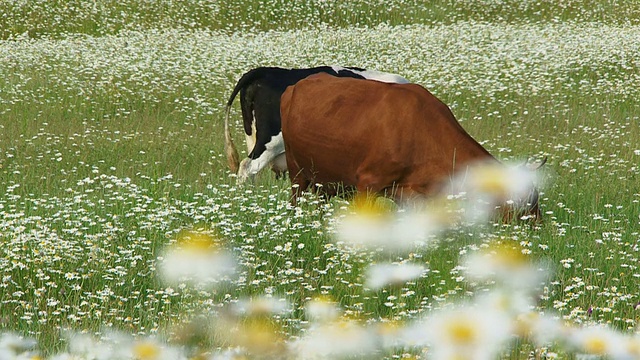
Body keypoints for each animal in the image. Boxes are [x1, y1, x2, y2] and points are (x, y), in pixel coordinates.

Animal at [280, 72, 544, 219]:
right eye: (523, 204)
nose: (538, 229)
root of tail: (296, 85)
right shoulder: (367, 184)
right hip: (296, 171)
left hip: (322, 179)